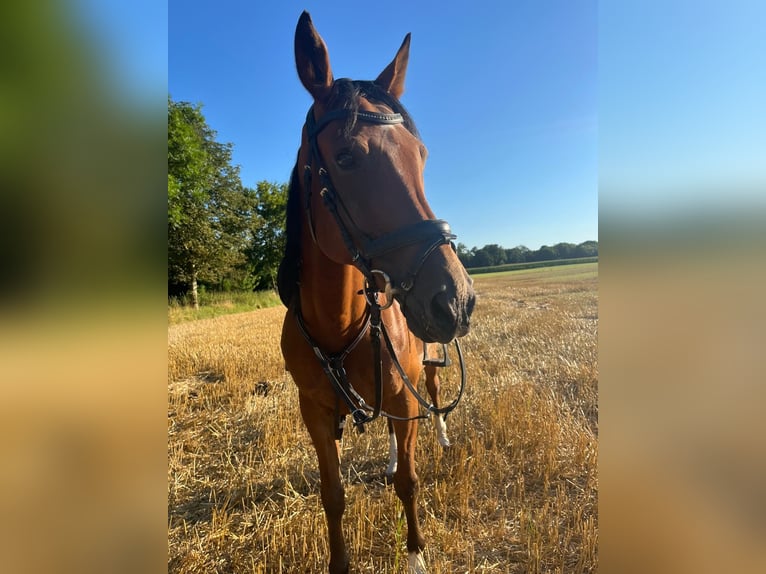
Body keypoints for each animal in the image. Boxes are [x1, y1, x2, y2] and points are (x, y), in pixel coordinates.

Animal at [280, 11, 476, 572]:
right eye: (345, 157)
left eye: (421, 155)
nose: (455, 299)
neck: (338, 323)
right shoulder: (314, 412)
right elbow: (332, 495)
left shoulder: (405, 389)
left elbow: (410, 482)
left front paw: (415, 555)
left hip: (423, 366)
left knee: (432, 395)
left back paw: (441, 436)